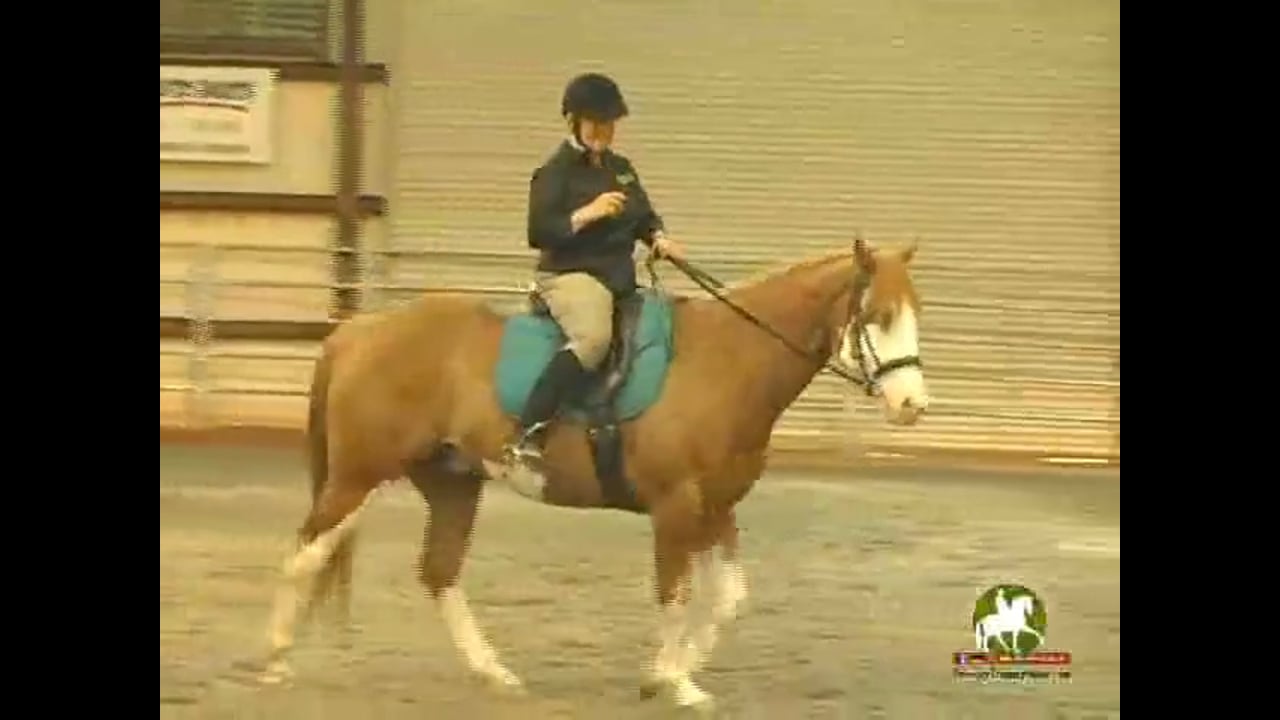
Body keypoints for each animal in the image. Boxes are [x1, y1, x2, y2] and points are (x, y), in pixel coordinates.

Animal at [259, 235, 929, 710]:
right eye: (877, 315)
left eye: (914, 313)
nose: (912, 406)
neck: (727, 362)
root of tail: (358, 330)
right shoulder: (677, 506)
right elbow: (676, 593)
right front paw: (671, 681)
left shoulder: (716, 507)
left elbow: (728, 599)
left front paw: (672, 676)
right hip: (356, 478)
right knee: (306, 553)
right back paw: (275, 660)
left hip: (451, 483)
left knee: (439, 572)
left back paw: (494, 672)